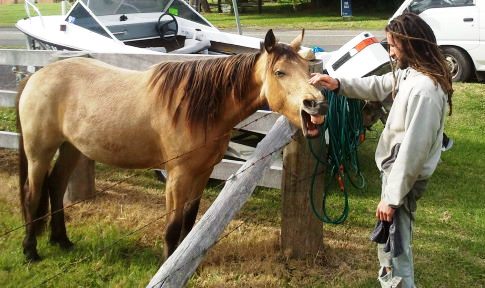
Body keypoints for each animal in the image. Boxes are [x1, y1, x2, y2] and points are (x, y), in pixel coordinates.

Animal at [16, 28, 326, 260]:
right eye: (280, 72)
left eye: (305, 68)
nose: (317, 104)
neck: (197, 108)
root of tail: (36, 76)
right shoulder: (177, 176)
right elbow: (172, 226)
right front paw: (167, 262)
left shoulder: (202, 172)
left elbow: (189, 220)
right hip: (38, 152)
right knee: (33, 193)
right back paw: (30, 251)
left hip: (71, 148)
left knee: (55, 187)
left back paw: (62, 241)